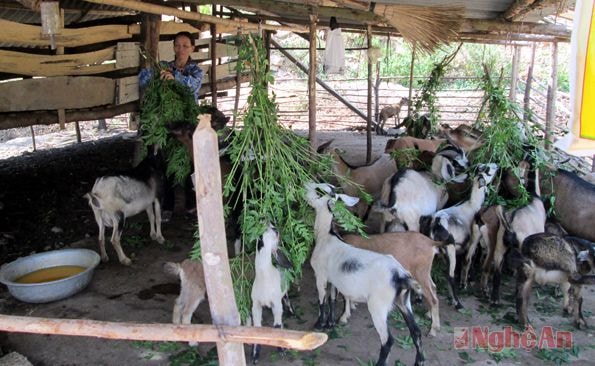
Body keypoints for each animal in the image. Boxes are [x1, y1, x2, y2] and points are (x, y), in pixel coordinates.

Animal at [250, 223, 294, 364]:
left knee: (287, 300)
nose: (273, 226)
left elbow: (277, 326)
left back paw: (291, 313)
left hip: (283, 294)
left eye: (275, 231)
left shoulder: (276, 303)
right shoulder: (256, 305)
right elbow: (257, 328)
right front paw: (255, 356)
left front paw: (281, 350)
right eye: (260, 236)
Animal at [304, 182, 426, 366]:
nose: (306, 186)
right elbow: (332, 299)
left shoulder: (320, 275)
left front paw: (319, 324)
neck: (326, 236)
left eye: (320, 191)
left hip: (378, 306)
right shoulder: (334, 280)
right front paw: (331, 323)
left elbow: (322, 300)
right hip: (404, 301)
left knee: (388, 340)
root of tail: (400, 276)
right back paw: (419, 361)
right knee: (416, 331)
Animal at [422, 163, 500, 308]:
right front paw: (468, 281)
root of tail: (435, 225)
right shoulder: (470, 241)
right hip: (450, 248)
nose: (497, 165)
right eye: (487, 170)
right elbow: (470, 258)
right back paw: (457, 303)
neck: (472, 204)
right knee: (450, 276)